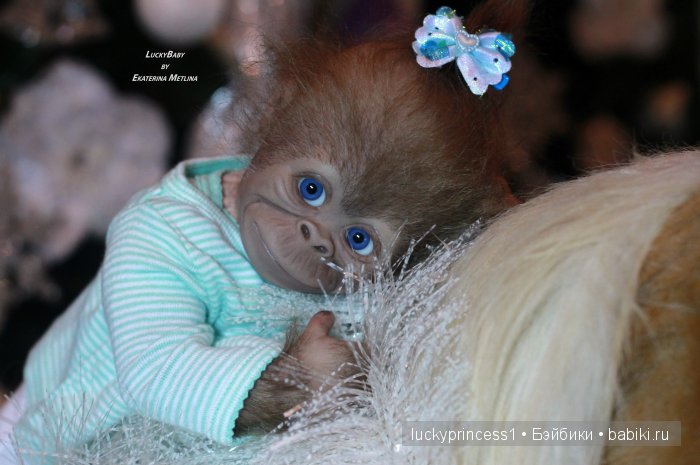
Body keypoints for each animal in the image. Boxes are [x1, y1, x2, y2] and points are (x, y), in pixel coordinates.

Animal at [1, 1, 531, 458]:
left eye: (357, 240)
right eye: (311, 189)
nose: (314, 239)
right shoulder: (151, 231)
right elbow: (161, 357)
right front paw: (322, 369)